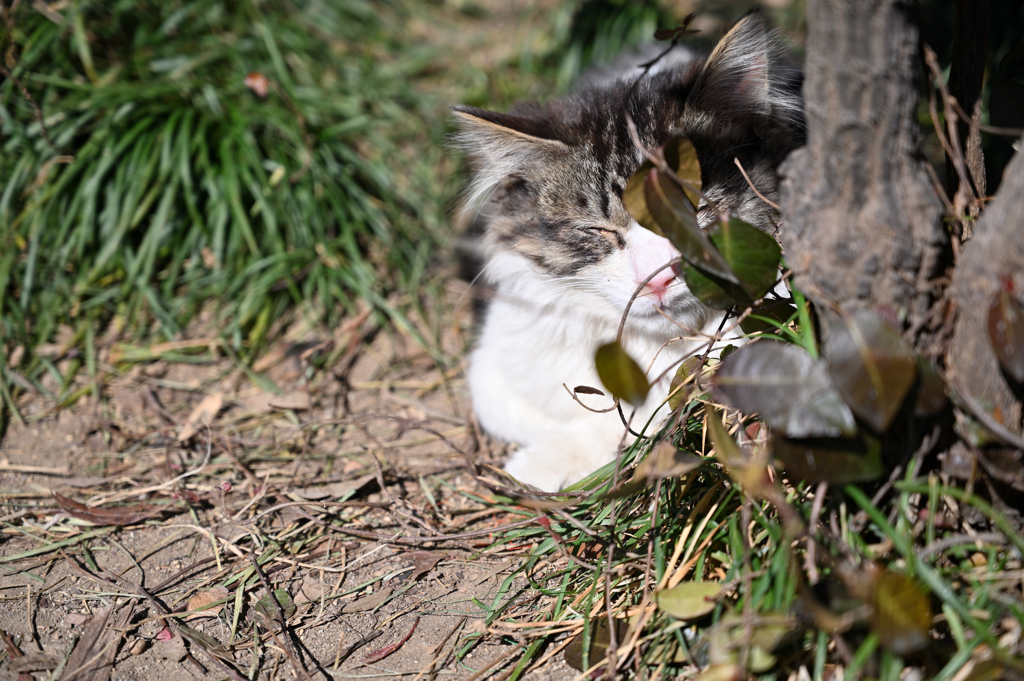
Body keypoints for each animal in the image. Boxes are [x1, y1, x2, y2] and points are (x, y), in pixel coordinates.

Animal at [454, 10, 798, 489]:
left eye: (696, 210)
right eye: (599, 230)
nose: (657, 279)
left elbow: (646, 421)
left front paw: (546, 464)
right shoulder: (493, 361)